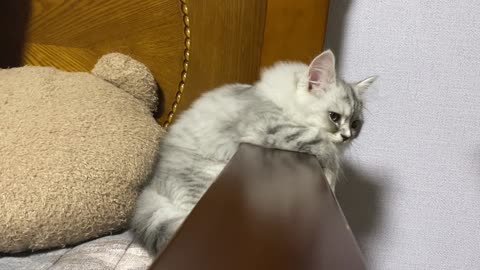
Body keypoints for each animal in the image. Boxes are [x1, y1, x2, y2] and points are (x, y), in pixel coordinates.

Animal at [131, 49, 376, 253]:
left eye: (355, 124)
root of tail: (150, 186)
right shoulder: (273, 127)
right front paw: (331, 183)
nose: (347, 136)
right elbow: (326, 149)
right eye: (334, 117)